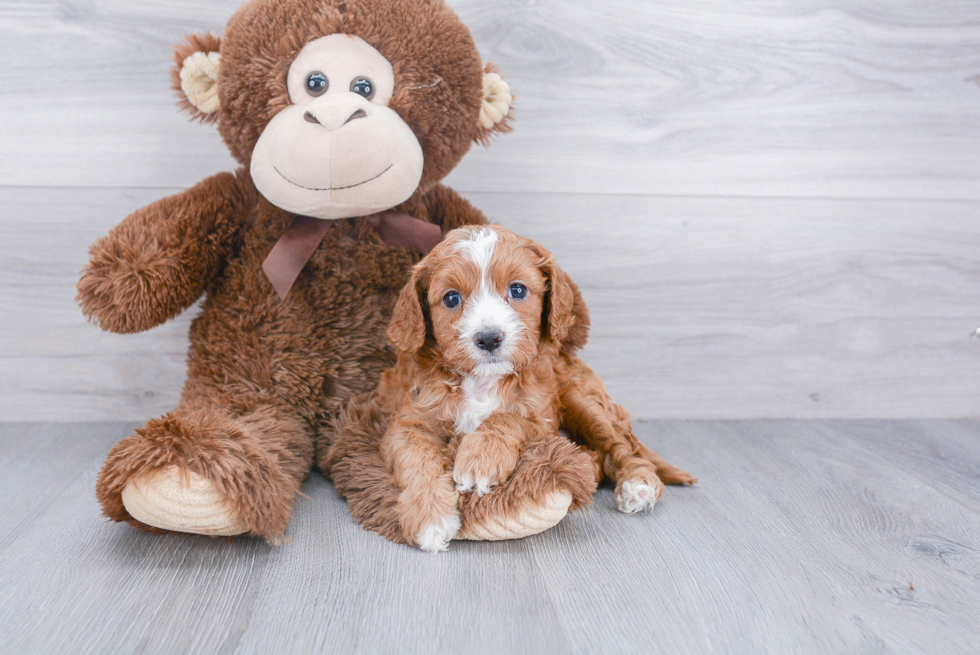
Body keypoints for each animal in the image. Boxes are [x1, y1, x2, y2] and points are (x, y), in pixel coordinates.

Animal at [378, 226, 692, 552]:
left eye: (517, 290)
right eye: (451, 298)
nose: (489, 338)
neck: (482, 380)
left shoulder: (543, 418)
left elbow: (507, 417)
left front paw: (481, 458)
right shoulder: (408, 421)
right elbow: (417, 460)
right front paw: (430, 517)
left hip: (583, 401)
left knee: (620, 446)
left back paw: (638, 484)